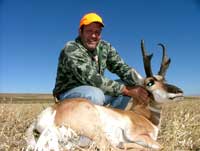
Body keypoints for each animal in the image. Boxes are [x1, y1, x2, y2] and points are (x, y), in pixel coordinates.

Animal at [25, 39, 184, 150]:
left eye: (164, 80)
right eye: (150, 82)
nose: (179, 91)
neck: (142, 116)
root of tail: (53, 110)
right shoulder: (135, 135)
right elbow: (160, 146)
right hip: (95, 130)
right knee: (109, 147)